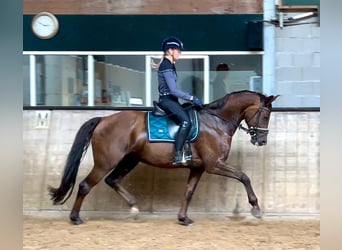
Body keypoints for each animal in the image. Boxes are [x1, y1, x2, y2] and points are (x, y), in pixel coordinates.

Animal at [47, 90, 278, 227]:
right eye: (266, 115)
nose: (261, 141)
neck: (216, 122)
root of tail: (103, 119)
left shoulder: (198, 168)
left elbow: (188, 192)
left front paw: (184, 218)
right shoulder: (214, 165)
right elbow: (244, 177)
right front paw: (256, 209)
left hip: (130, 159)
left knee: (112, 180)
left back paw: (134, 208)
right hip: (107, 162)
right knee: (86, 185)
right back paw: (76, 218)